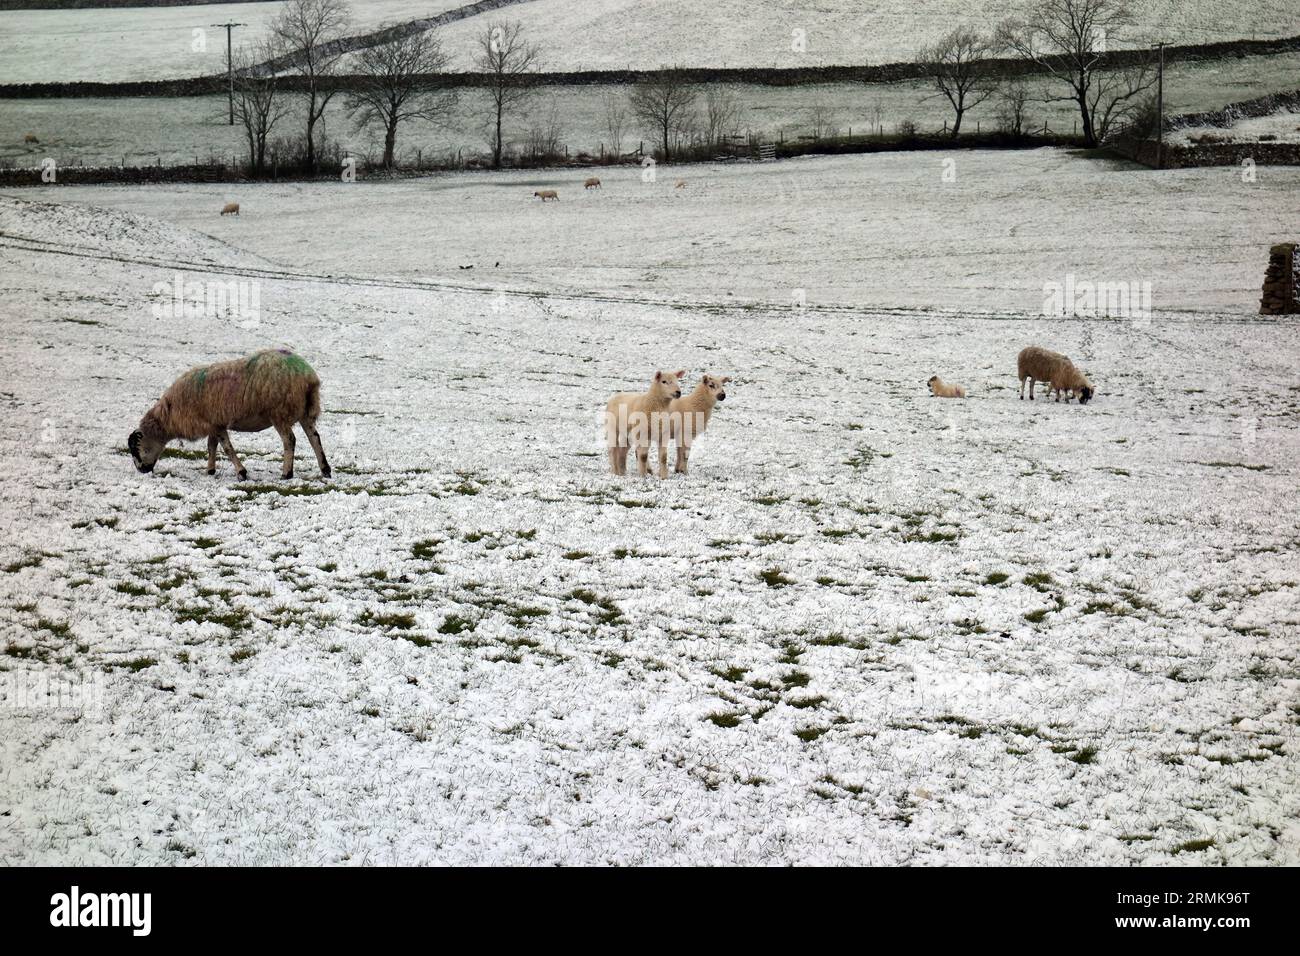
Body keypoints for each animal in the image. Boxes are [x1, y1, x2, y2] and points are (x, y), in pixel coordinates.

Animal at [128, 348, 330, 478]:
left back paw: (287, 473)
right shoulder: (213, 423)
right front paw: (210, 470)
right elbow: (211, 446)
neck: (170, 415)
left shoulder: (216, 424)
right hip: (304, 412)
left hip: (279, 412)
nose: (141, 470)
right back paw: (325, 469)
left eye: (136, 449)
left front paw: (241, 473)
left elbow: (227, 448)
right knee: (315, 438)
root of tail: (308, 377)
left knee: (290, 440)